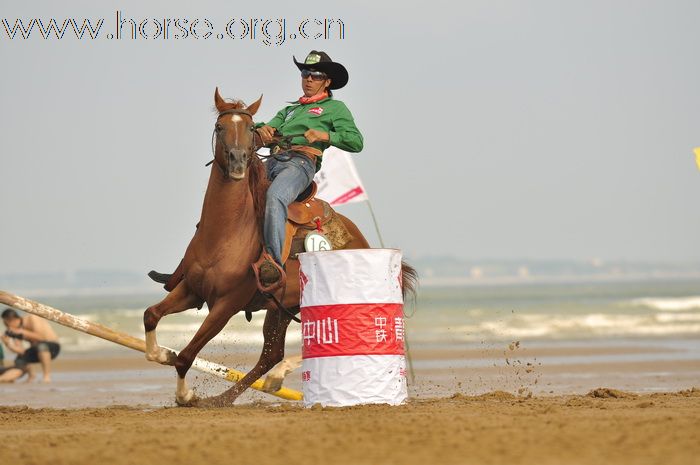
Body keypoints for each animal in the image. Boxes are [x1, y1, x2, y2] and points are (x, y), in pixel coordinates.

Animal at [142, 88, 416, 406]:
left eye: (250, 128)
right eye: (220, 127)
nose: (238, 162)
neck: (225, 233)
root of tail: (361, 240)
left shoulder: (226, 305)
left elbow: (186, 356)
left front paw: (186, 395)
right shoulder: (191, 289)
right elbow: (151, 315)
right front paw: (161, 353)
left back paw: (263, 382)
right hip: (282, 308)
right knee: (271, 355)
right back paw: (230, 395)